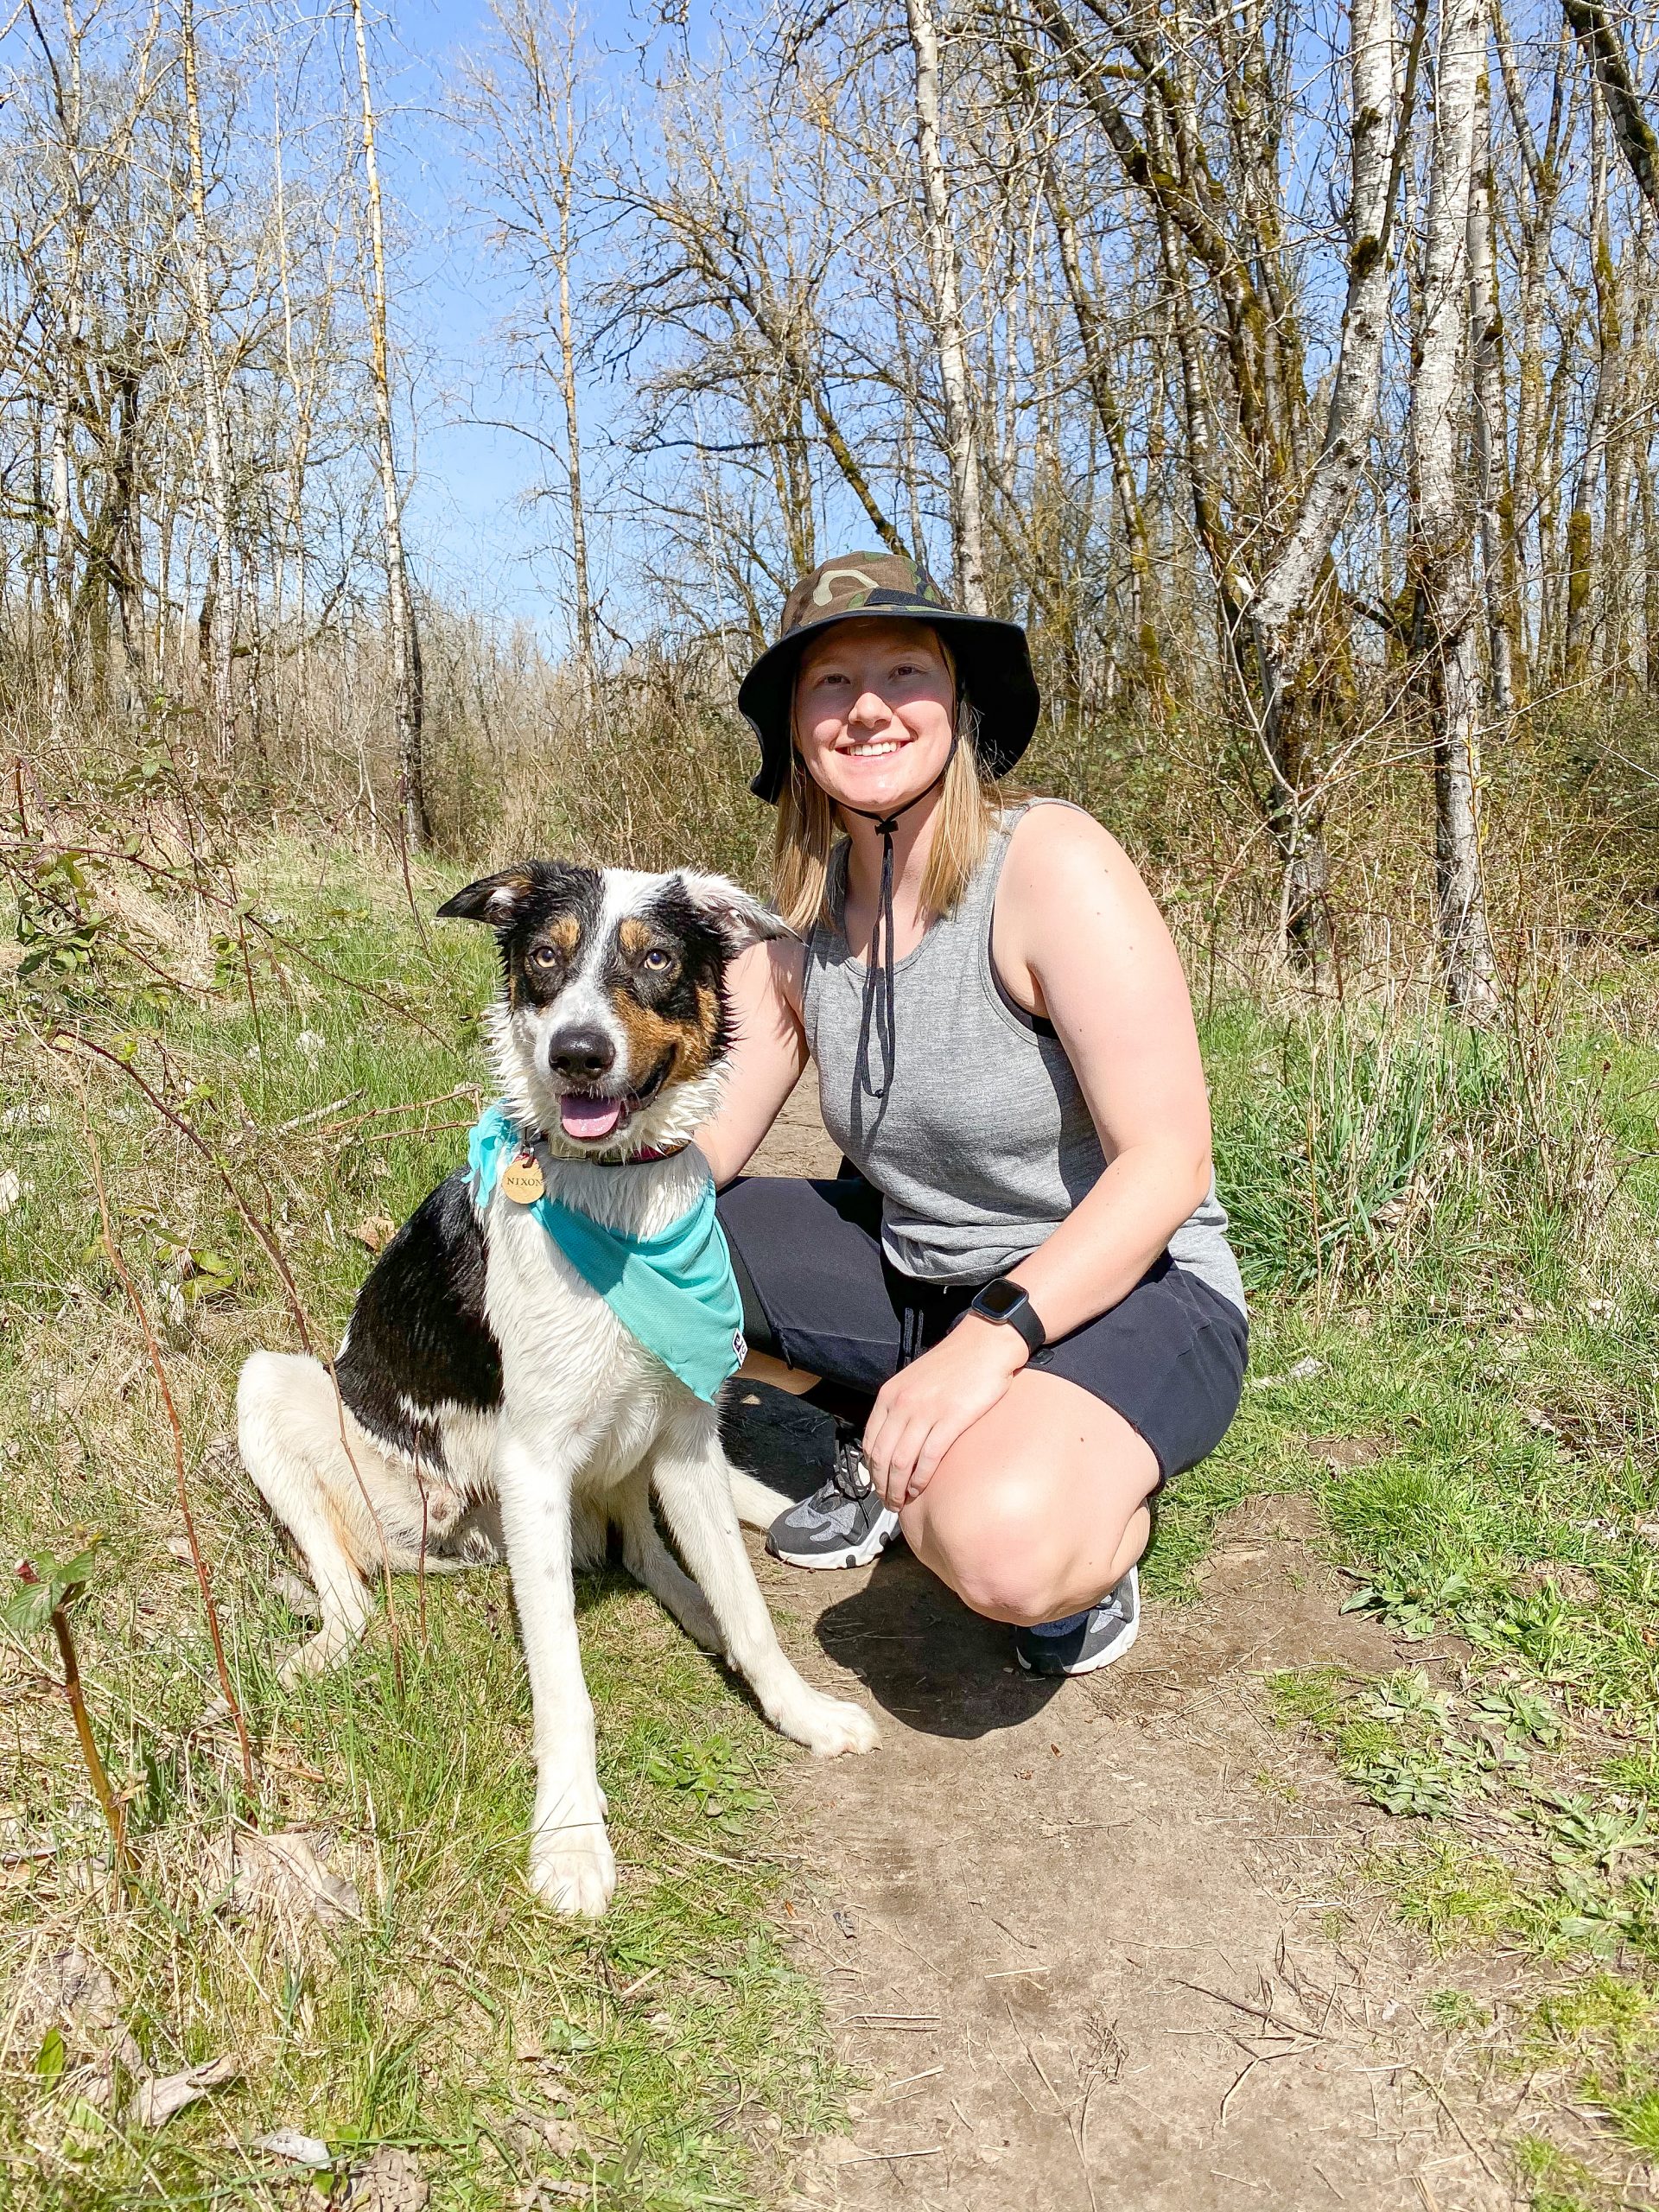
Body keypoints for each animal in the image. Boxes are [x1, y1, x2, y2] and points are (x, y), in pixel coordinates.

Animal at [237, 861, 879, 1915]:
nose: (579, 1053)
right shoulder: (534, 1466)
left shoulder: (688, 1442)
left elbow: (748, 1608)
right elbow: (563, 1686)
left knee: (650, 1555)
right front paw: (572, 1839)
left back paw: (697, 1614)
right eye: (545, 956)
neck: (618, 1195)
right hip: (270, 1387)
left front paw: (799, 1710)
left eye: (656, 960)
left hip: (635, 1459)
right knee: (354, 1599)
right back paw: (322, 1645)